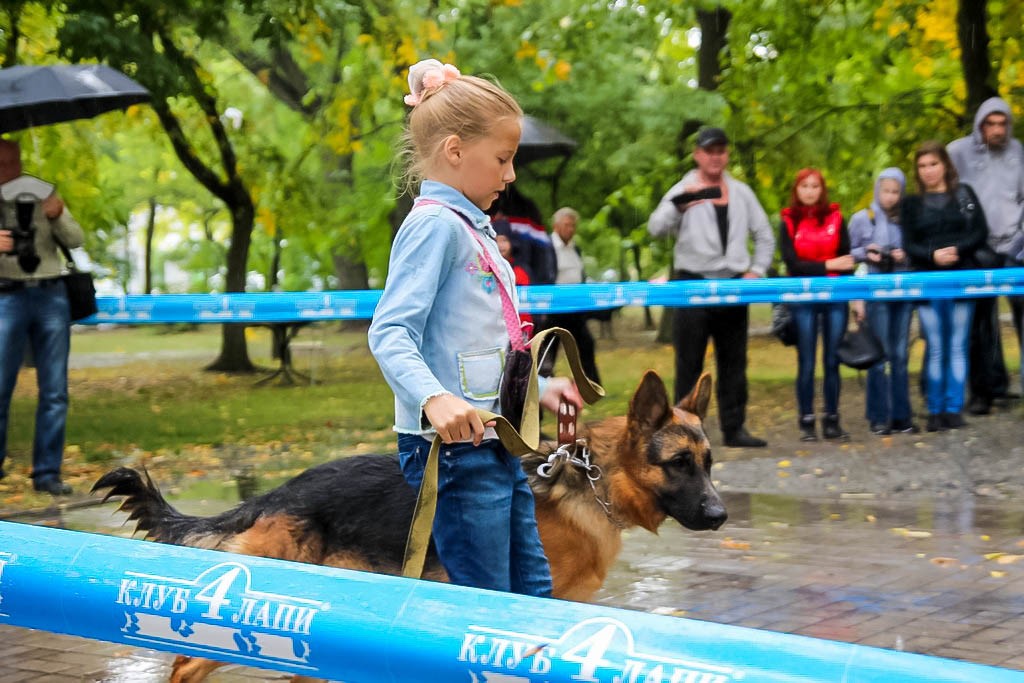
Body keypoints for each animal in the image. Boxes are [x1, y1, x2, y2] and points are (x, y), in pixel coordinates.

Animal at [92, 374, 724, 683]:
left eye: (709, 462)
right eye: (678, 464)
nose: (720, 516)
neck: (589, 483)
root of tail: (279, 492)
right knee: (182, 662)